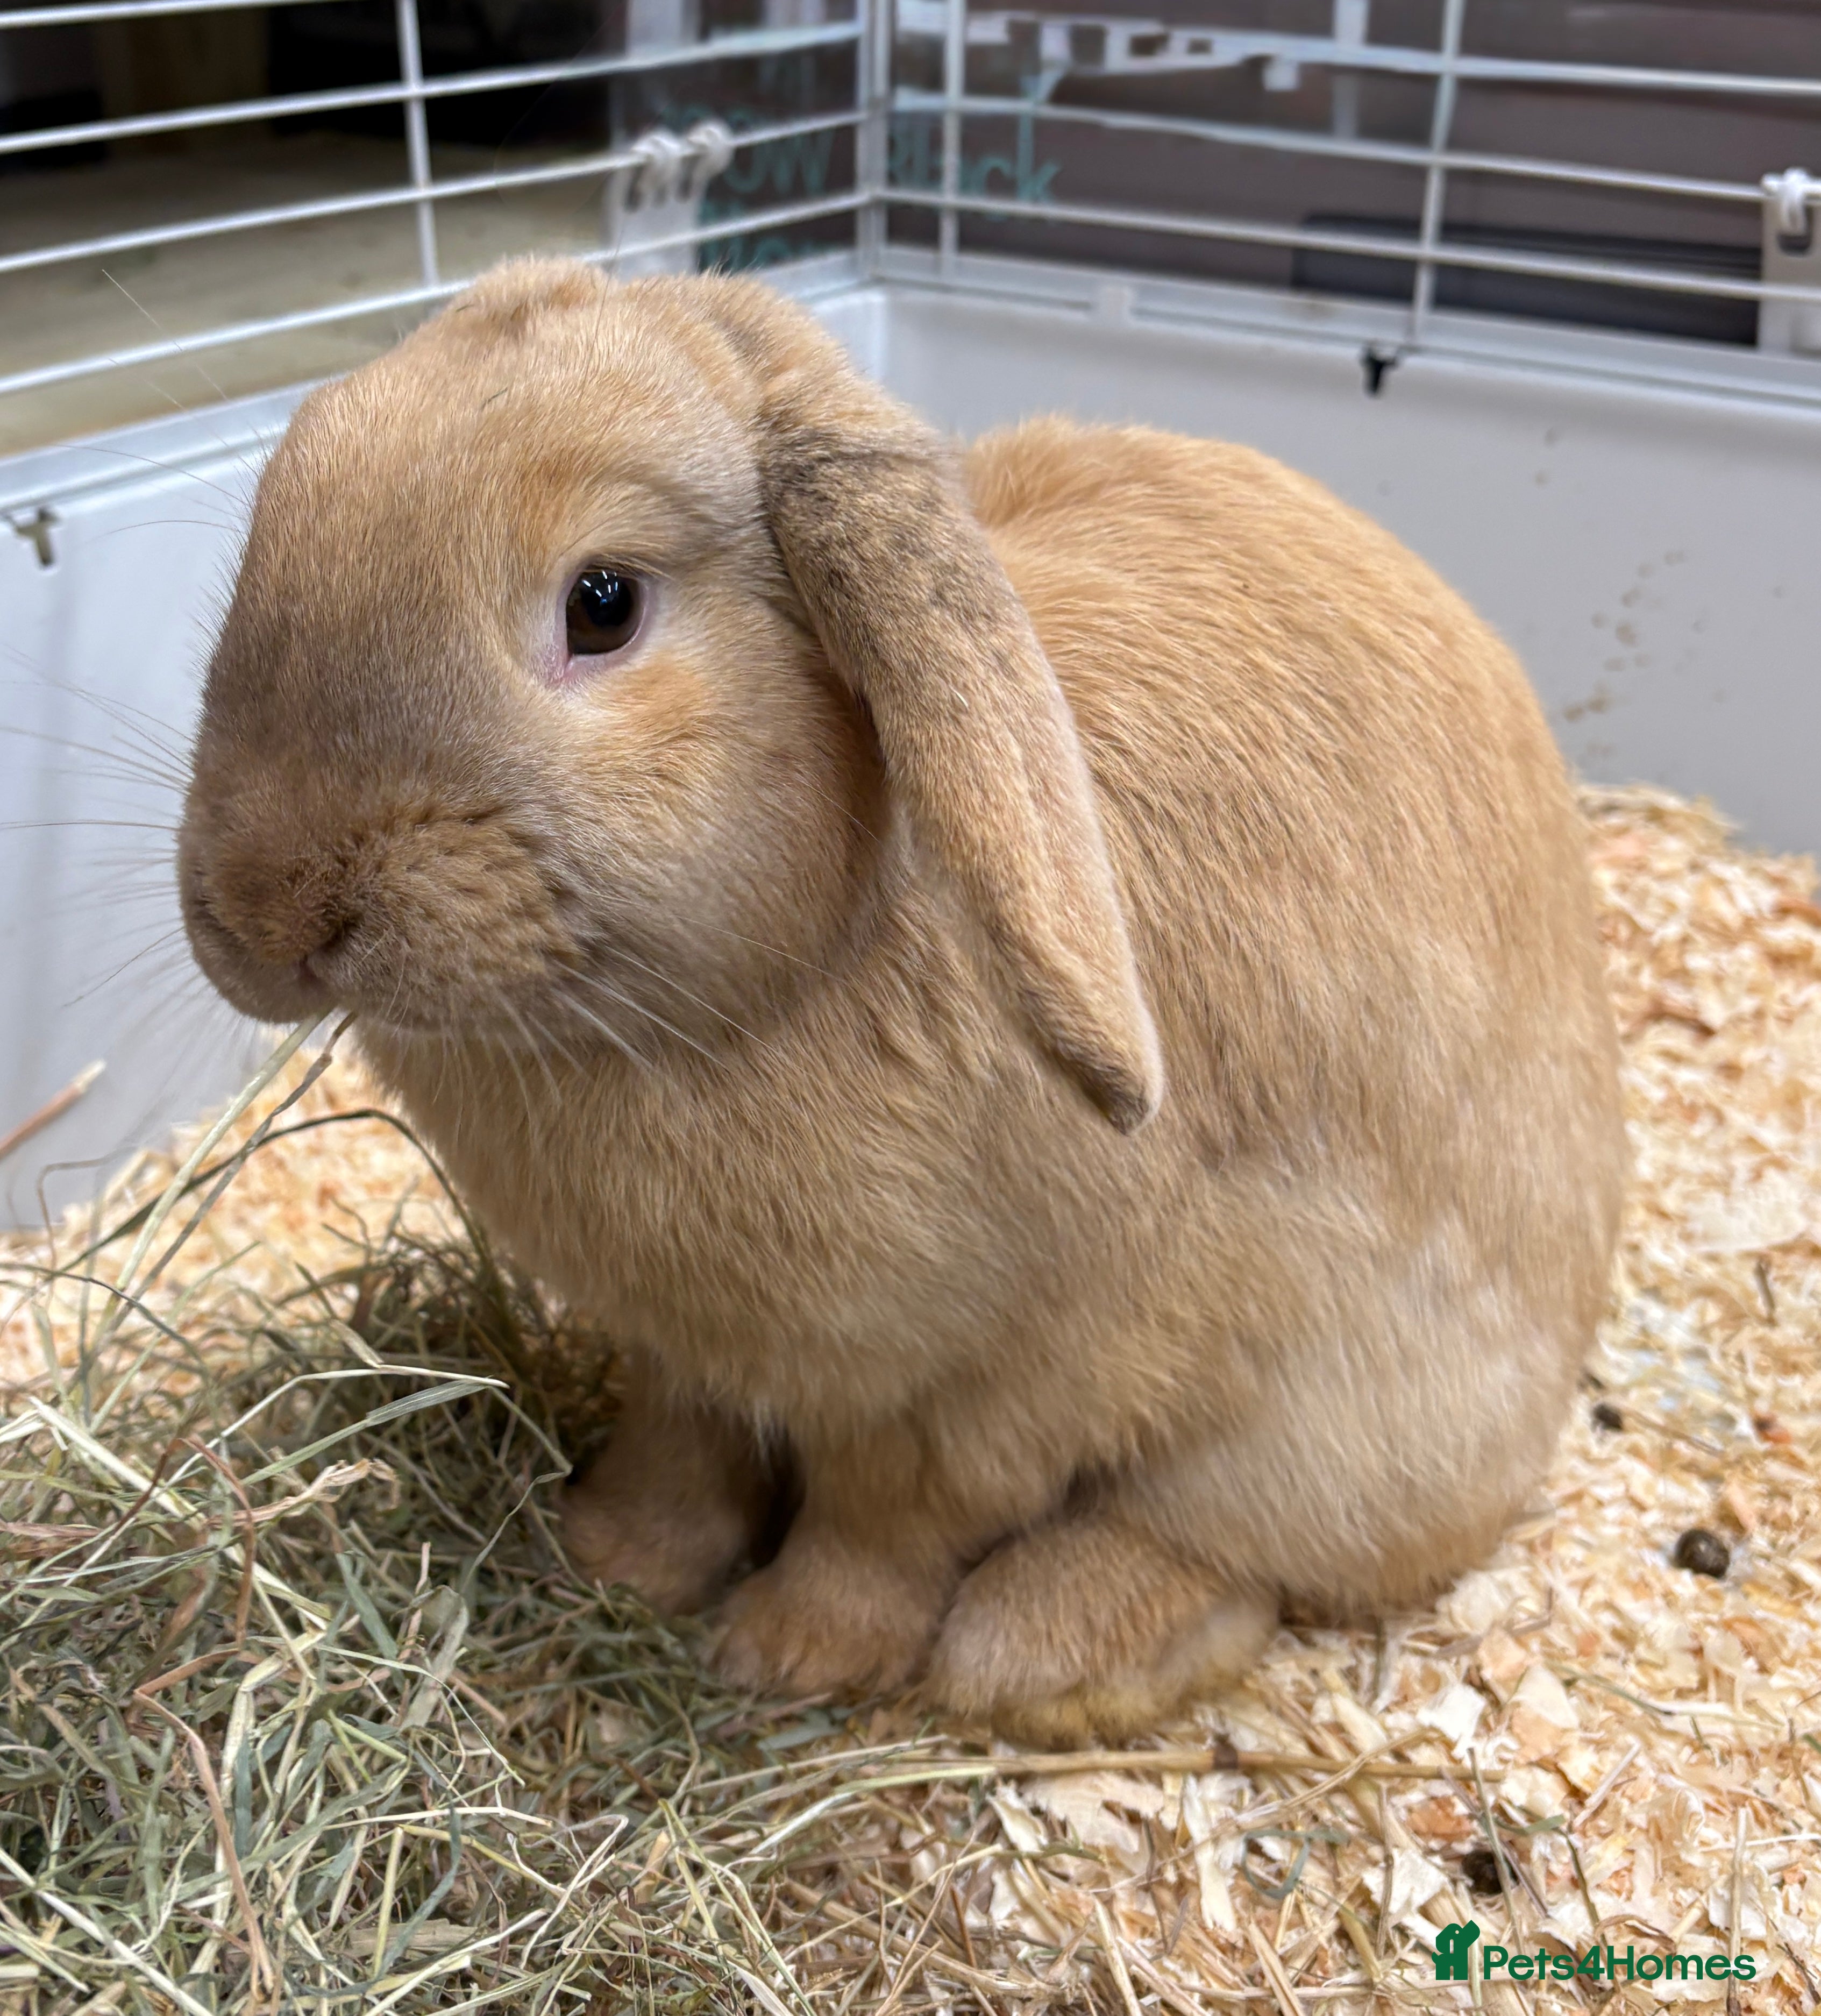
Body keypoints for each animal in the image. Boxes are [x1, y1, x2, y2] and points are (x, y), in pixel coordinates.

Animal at [178, 257, 1626, 1743]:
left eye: (603, 603)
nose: (269, 914)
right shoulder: (686, 1352)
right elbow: (680, 1450)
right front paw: (614, 1561)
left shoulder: (995, 1388)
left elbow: (889, 1518)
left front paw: (789, 1653)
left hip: (1329, 1437)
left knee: (1237, 1561)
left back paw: (1038, 1653)